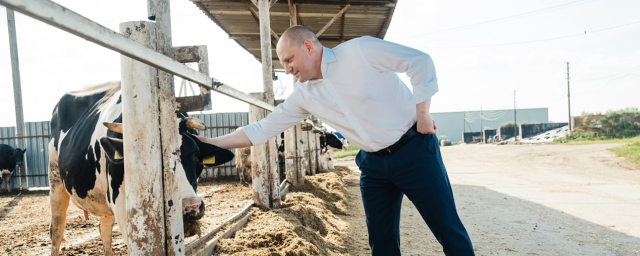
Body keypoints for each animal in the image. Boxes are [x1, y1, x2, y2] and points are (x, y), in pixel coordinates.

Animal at [48, 82, 232, 256]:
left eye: (196, 156)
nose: (191, 207)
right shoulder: (120, 205)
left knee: (104, 228)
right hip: (55, 181)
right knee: (57, 231)